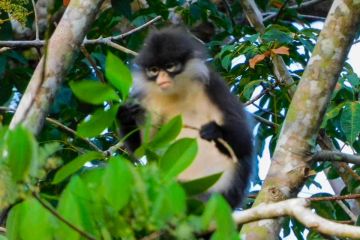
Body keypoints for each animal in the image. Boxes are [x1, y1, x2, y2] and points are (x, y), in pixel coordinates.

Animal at [117, 26, 253, 208]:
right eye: (154, 70)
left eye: (170, 66)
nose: (161, 78)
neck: (178, 93)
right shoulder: (147, 98)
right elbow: (142, 148)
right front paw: (124, 114)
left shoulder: (213, 86)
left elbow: (245, 144)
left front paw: (214, 131)